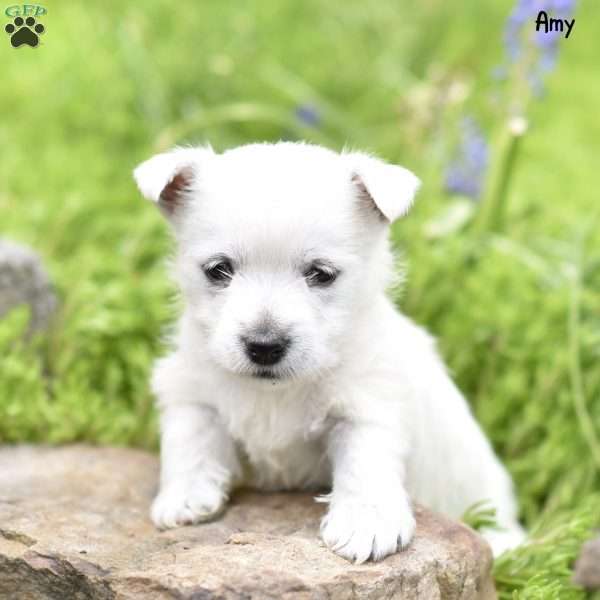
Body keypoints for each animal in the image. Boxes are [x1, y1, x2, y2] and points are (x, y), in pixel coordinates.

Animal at [134, 142, 524, 564]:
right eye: (218, 269)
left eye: (320, 273)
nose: (264, 346)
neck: (277, 392)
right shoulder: (191, 387)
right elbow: (190, 438)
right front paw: (183, 498)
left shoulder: (368, 404)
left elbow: (364, 461)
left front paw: (367, 523)